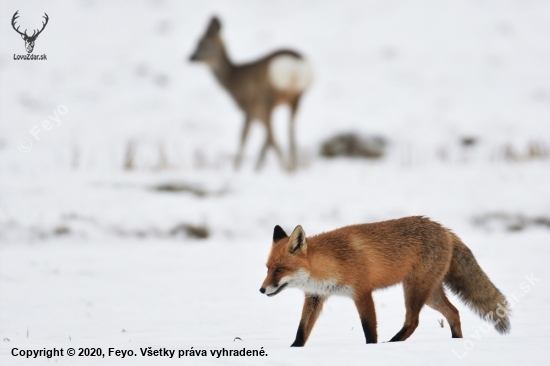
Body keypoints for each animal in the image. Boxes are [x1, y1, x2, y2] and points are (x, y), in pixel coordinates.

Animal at [190, 16, 312, 172]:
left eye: (203, 43)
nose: (191, 57)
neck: (232, 79)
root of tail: (295, 67)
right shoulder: (257, 111)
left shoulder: (249, 107)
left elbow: (244, 136)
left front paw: (236, 168)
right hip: (296, 98)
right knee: (288, 132)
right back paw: (291, 166)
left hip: (268, 99)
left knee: (272, 135)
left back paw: (282, 166)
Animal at [260, 216, 512, 348]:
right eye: (268, 268)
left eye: (280, 269)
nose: (261, 290)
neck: (331, 262)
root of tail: (445, 229)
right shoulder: (315, 296)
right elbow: (301, 330)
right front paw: (294, 351)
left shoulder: (362, 292)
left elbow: (369, 329)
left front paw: (372, 350)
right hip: (430, 294)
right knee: (454, 312)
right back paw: (455, 342)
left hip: (414, 290)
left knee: (413, 321)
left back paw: (392, 343)